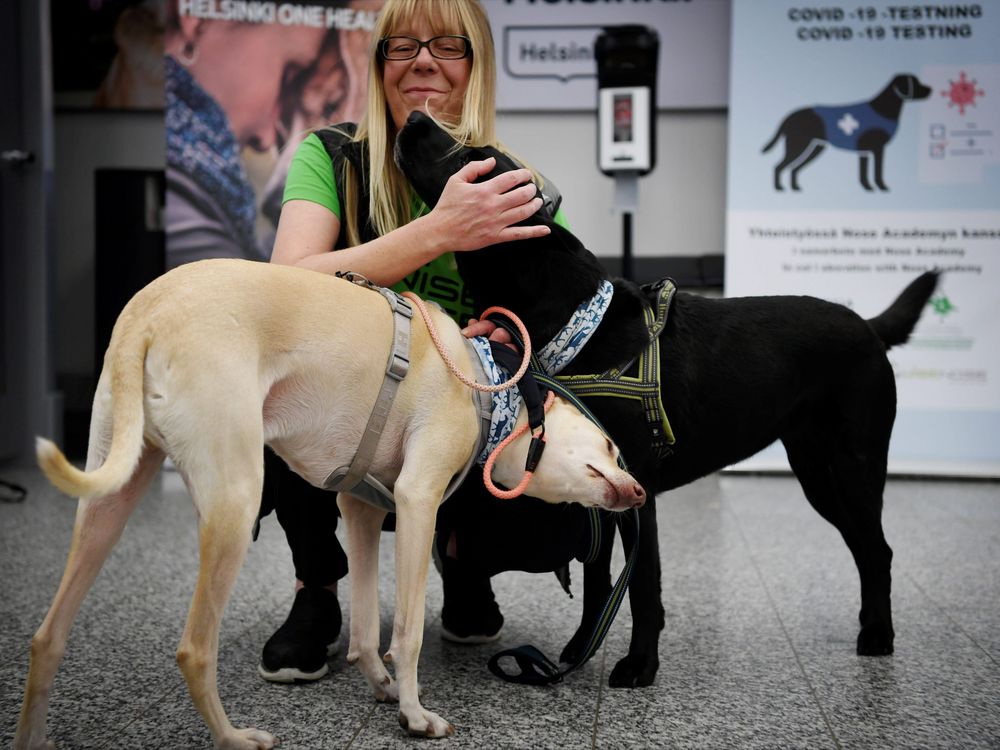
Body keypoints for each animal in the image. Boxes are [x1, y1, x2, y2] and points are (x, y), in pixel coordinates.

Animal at [17, 258, 648, 748]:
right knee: (195, 649)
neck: (487, 383)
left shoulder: (361, 510)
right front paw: (414, 716)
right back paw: (234, 738)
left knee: (47, 638)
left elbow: (368, 629)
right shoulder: (418, 501)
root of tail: (146, 313)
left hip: (110, 498)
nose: (640, 490)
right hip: (234, 502)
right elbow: (407, 633)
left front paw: (381, 687)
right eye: (612, 448)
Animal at [396, 110, 936, 688]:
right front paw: (581, 648)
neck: (579, 321)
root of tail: (870, 326)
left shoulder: (638, 490)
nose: (414, 116)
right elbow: (597, 580)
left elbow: (642, 587)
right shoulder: (596, 487)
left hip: (854, 466)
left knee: (878, 549)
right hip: (817, 474)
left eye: (470, 157)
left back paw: (878, 636)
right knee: (865, 548)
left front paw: (639, 665)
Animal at [764, 73, 928, 192]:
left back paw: (795, 187)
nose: (930, 89)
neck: (882, 109)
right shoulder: (878, 149)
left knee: (793, 168)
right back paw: (780, 188)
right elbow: (877, 171)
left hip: (815, 147)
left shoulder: (864, 151)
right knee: (779, 166)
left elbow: (863, 172)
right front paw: (881, 187)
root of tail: (789, 116)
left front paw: (867, 187)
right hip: (798, 145)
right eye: (916, 82)